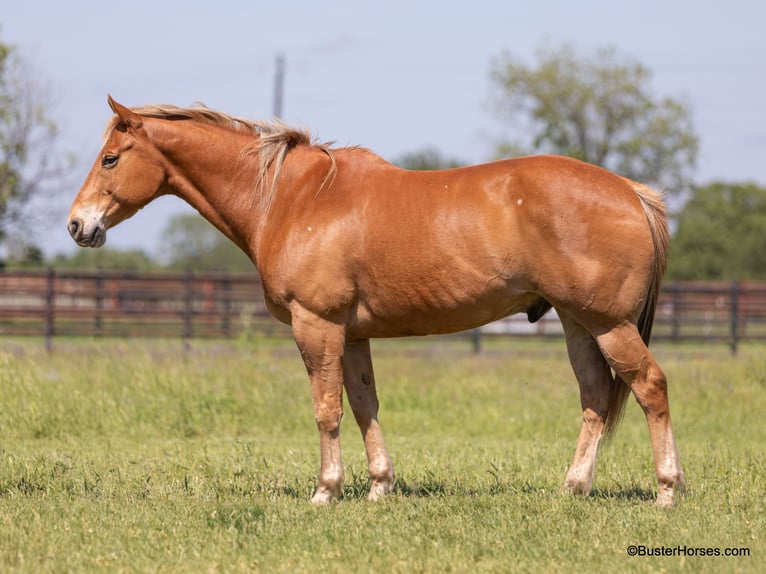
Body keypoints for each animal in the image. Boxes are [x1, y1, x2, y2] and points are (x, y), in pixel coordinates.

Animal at [69, 98, 688, 508]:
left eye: (110, 159)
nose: (78, 225)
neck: (293, 198)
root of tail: (633, 192)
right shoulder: (353, 335)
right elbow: (365, 405)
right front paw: (379, 487)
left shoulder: (316, 326)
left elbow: (327, 410)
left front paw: (326, 491)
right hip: (579, 324)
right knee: (595, 397)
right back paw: (574, 488)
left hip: (608, 323)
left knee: (650, 387)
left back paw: (666, 490)